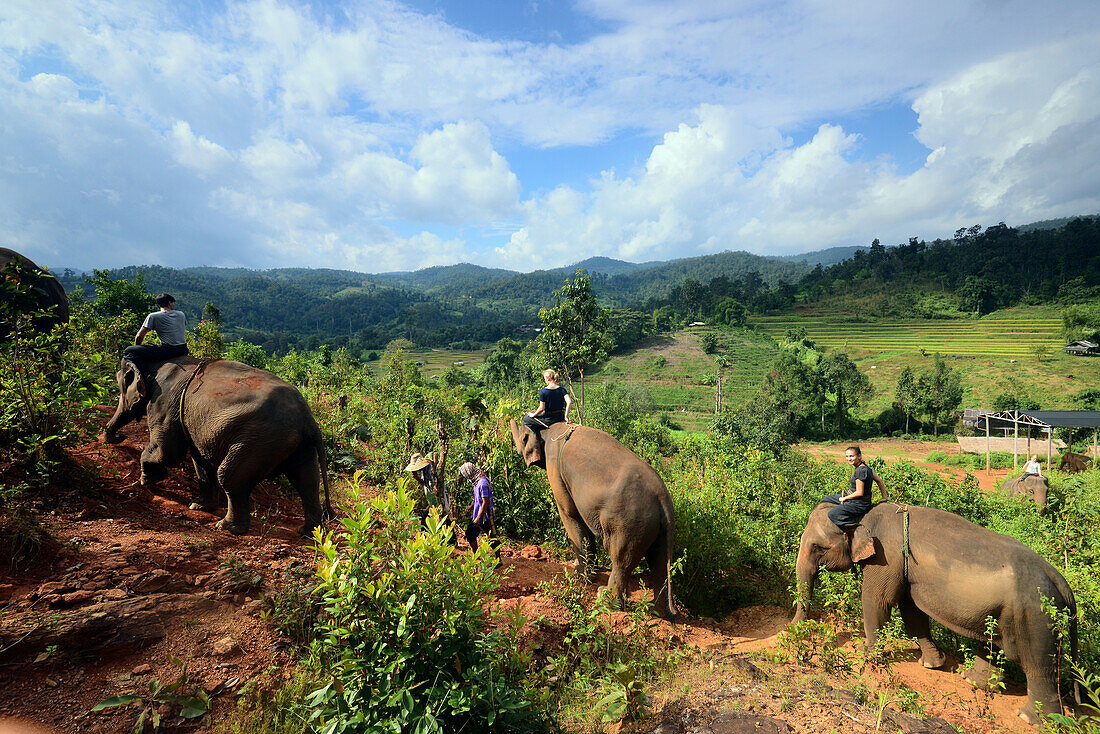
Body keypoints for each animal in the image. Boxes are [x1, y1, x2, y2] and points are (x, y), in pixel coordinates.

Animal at [102, 358, 330, 537]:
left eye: (121, 385)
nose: (119, 436)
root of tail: (309, 419)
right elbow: (199, 459)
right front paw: (199, 506)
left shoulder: (165, 403)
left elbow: (168, 451)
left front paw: (147, 480)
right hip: (296, 444)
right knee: (307, 481)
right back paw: (309, 532)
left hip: (261, 440)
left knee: (230, 476)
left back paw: (226, 527)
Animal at [508, 418, 677, 620]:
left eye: (521, 437)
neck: (549, 428)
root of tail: (663, 499)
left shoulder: (555, 467)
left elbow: (569, 512)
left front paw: (581, 576)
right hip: (657, 527)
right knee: (658, 561)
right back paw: (656, 611)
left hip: (629, 524)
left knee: (621, 559)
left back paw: (605, 599)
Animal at [792, 499, 1073, 721]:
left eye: (818, 547)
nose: (793, 629)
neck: (862, 514)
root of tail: (1061, 581)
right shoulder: (905, 568)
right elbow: (911, 609)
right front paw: (932, 663)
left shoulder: (885, 556)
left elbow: (876, 600)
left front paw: (864, 653)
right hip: (1004, 612)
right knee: (991, 642)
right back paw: (972, 680)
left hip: (1036, 618)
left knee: (1039, 666)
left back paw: (1031, 718)